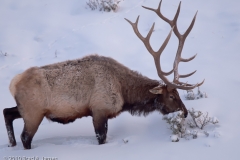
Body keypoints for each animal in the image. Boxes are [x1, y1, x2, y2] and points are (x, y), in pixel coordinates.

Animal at [2, 0, 203, 149]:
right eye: (172, 96)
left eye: (178, 94)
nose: (185, 112)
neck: (124, 93)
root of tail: (13, 84)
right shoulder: (99, 109)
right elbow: (101, 138)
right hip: (33, 113)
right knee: (25, 137)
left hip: (26, 109)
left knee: (7, 112)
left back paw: (11, 144)